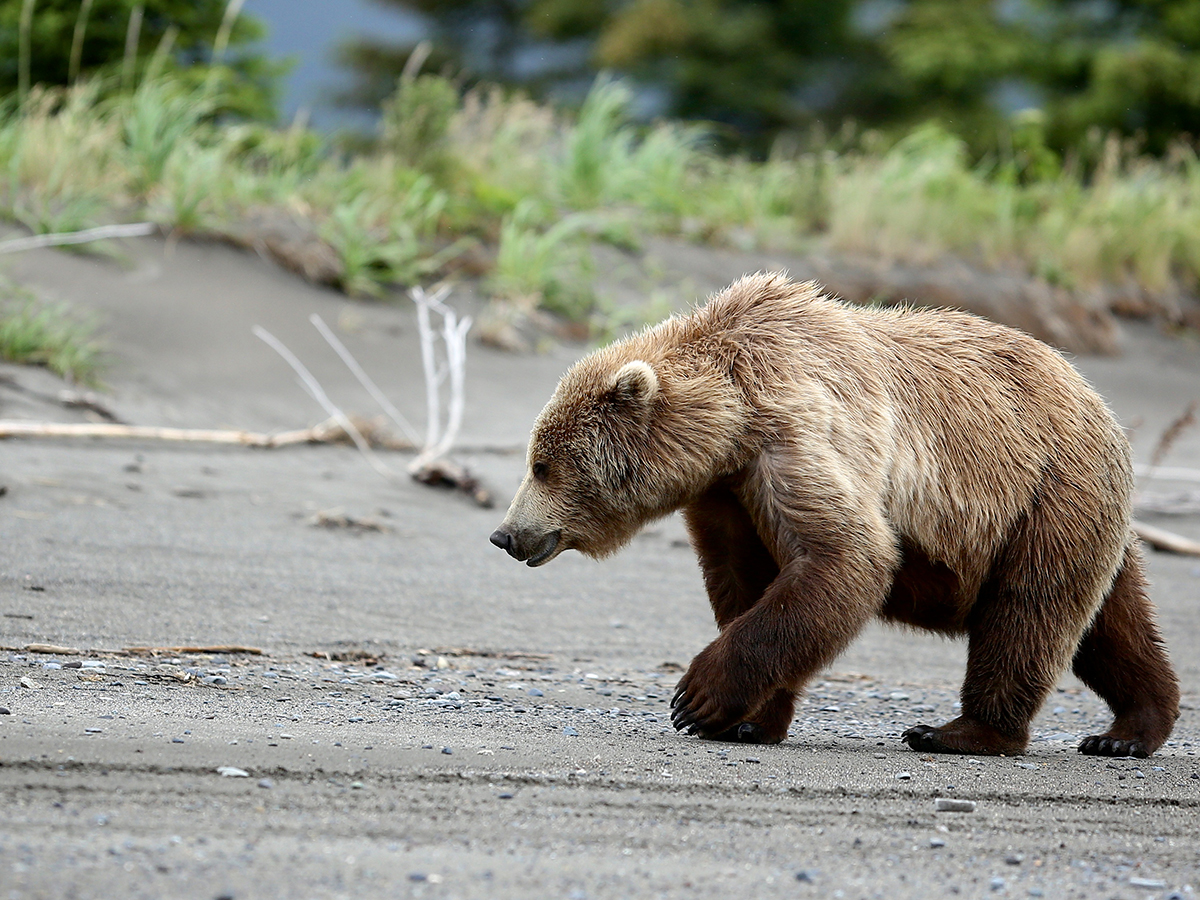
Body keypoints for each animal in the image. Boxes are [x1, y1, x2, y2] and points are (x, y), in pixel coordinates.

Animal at [489, 273, 1180, 758]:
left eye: (543, 465)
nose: (505, 533)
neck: (728, 424)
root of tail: (1096, 396)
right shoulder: (725, 494)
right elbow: (746, 580)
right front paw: (748, 719)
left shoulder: (796, 436)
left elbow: (843, 556)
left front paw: (697, 697)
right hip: (1081, 513)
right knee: (1111, 624)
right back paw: (1131, 726)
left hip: (1046, 492)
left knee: (1028, 610)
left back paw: (961, 731)